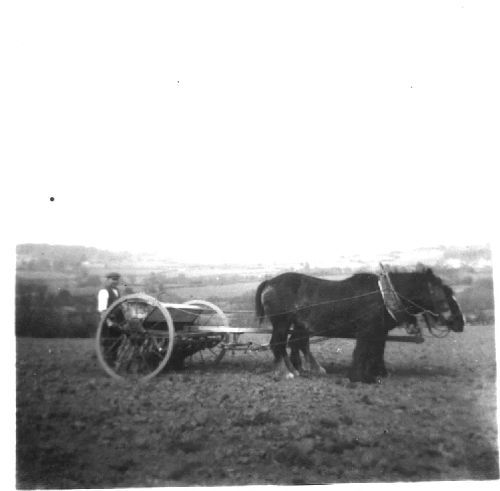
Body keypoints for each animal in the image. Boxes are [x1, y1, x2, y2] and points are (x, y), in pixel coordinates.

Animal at [256, 270, 466, 384]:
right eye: (443, 297)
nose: (460, 322)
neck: (383, 295)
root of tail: (270, 282)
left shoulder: (380, 332)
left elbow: (377, 351)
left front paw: (380, 372)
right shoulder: (367, 331)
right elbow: (362, 351)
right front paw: (359, 377)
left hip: (297, 325)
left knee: (293, 344)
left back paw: (299, 369)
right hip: (282, 323)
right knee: (277, 344)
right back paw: (286, 372)